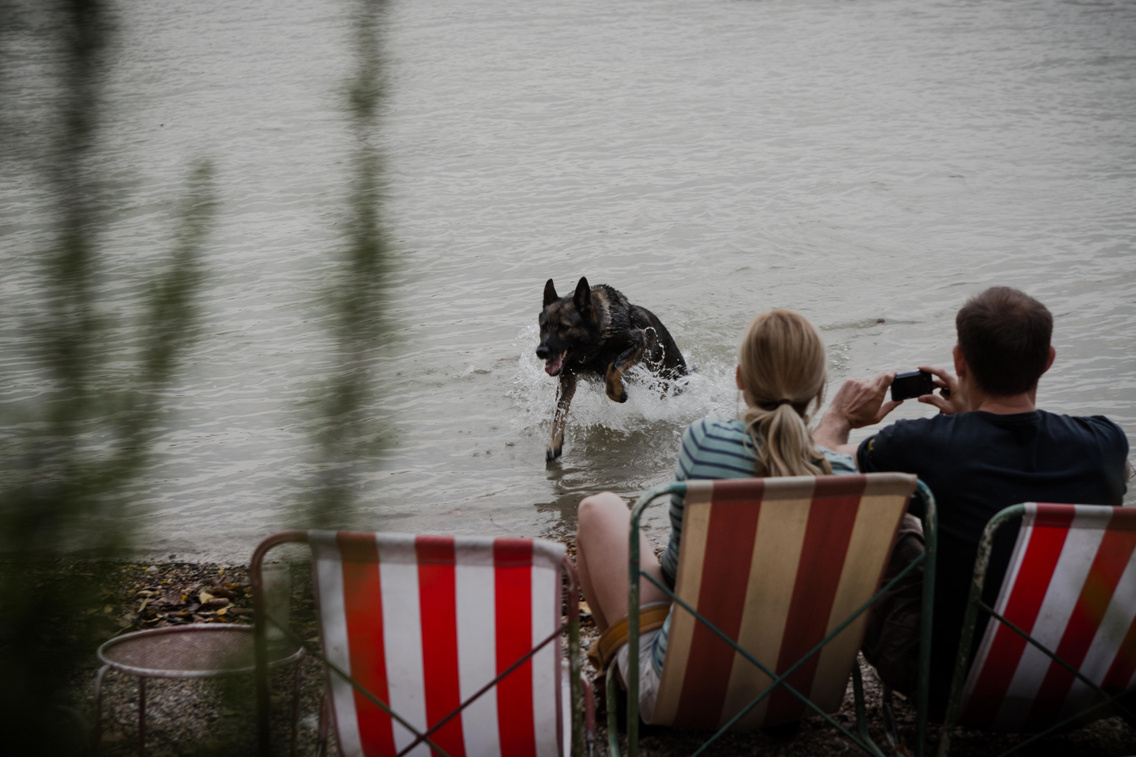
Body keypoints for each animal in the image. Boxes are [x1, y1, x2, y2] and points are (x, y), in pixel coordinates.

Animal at [536, 273, 686, 456]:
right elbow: (559, 413)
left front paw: (617, 393)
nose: (541, 351)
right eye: (544, 326)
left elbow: (614, 367)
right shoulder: (567, 378)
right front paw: (555, 442)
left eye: (564, 327)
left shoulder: (638, 342)